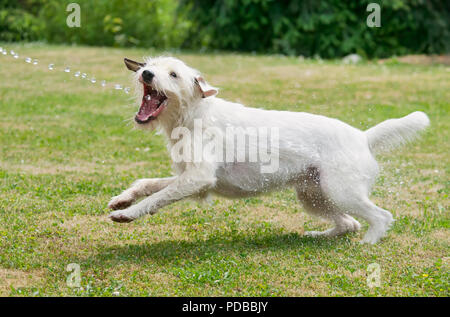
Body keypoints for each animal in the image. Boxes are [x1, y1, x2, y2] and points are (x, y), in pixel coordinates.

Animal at [108, 56, 428, 243]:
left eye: (173, 74)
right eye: (150, 64)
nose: (146, 74)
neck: (194, 115)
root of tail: (363, 137)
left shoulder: (198, 178)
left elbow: (157, 197)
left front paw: (129, 214)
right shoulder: (193, 181)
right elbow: (148, 184)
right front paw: (122, 200)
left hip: (342, 192)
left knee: (381, 217)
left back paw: (367, 244)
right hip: (314, 196)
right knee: (349, 223)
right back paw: (317, 235)